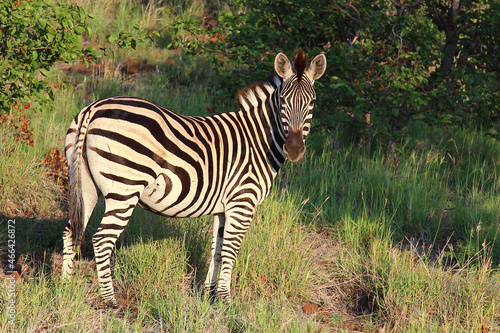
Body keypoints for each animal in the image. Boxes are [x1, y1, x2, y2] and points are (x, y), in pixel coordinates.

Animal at [60, 49, 326, 306]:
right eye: (283, 100)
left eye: (312, 102)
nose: (294, 149)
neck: (258, 141)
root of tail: (93, 109)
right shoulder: (242, 202)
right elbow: (230, 250)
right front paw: (226, 300)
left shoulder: (223, 207)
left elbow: (217, 249)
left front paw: (209, 294)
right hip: (124, 188)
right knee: (102, 239)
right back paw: (109, 300)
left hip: (85, 185)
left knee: (70, 232)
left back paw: (65, 288)